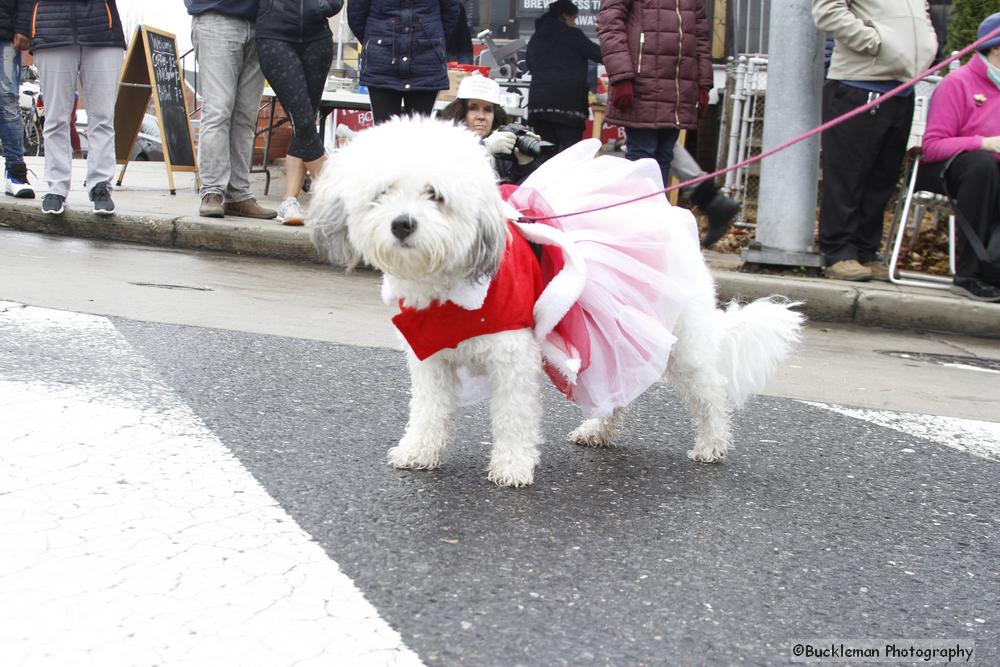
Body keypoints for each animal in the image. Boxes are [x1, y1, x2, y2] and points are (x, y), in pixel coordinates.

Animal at [312, 117, 804, 488]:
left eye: (436, 195)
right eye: (382, 193)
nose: (402, 224)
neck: (447, 283)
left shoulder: (512, 357)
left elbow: (513, 417)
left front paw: (511, 468)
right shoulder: (431, 358)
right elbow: (429, 411)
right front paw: (419, 451)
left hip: (683, 344)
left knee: (711, 393)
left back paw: (712, 444)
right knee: (619, 386)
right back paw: (598, 430)